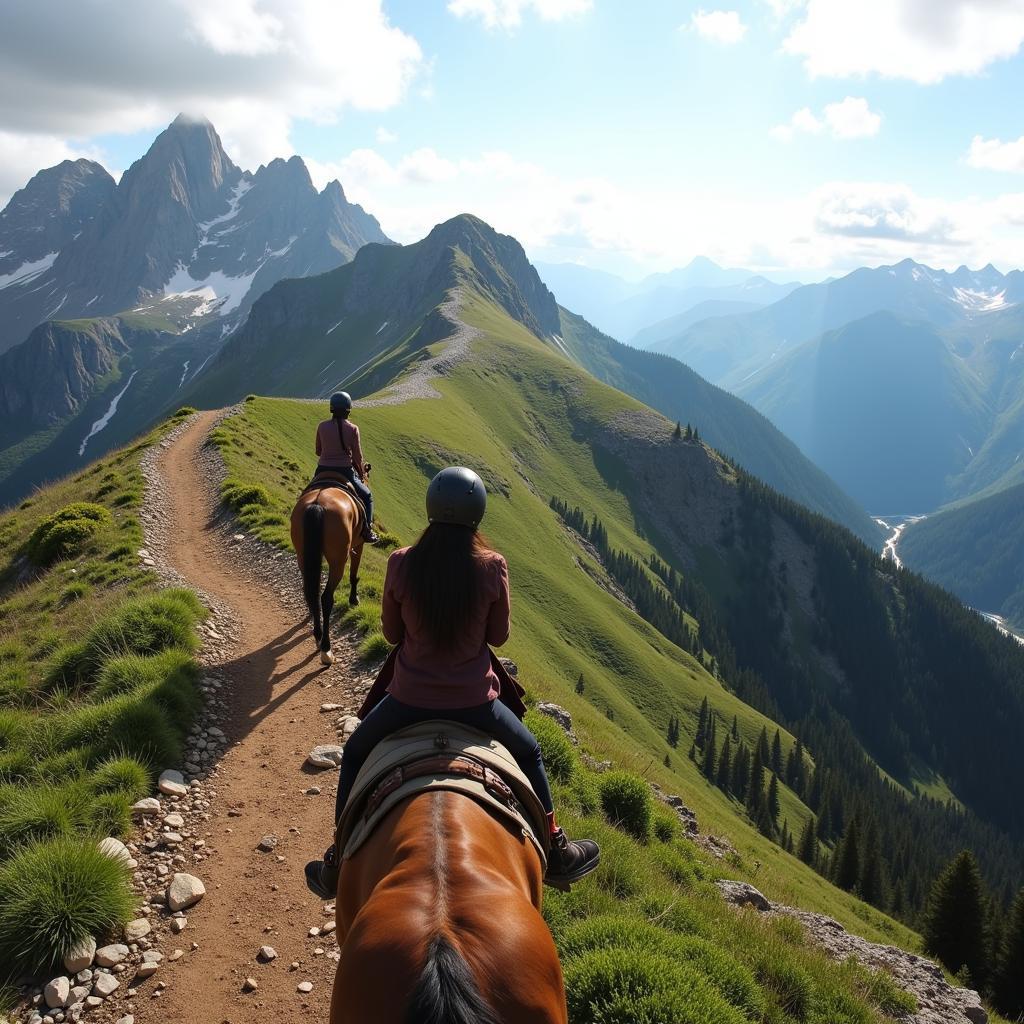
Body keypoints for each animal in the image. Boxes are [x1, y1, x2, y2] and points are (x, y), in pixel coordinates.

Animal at [290, 479, 366, 663]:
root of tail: (317, 504)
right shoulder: (359, 544)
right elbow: (354, 573)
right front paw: (354, 599)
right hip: (338, 561)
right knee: (326, 598)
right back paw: (325, 647)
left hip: (302, 555)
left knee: (311, 591)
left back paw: (316, 629)